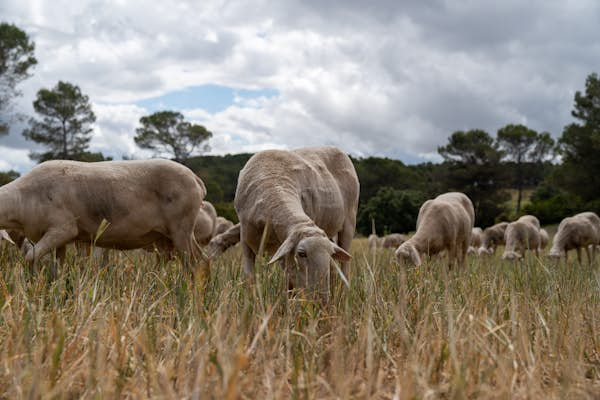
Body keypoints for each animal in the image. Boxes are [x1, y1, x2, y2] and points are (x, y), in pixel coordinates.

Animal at [0, 159, 207, 276]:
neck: (22, 199)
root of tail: (197, 180)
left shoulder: (63, 229)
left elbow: (30, 257)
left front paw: (33, 282)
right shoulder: (64, 239)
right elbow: (61, 265)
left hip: (181, 227)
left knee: (196, 262)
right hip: (169, 236)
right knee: (196, 260)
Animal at [233, 145, 356, 298]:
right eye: (301, 254)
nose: (322, 300)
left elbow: (289, 279)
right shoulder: (246, 240)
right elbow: (249, 276)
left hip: (350, 219)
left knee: (345, 265)